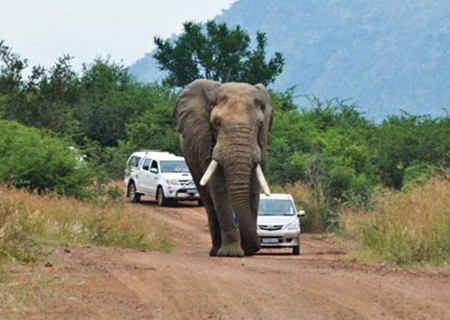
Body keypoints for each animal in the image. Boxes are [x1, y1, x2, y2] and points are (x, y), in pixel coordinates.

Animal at [174, 80, 272, 258]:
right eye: (217, 123)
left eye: (260, 124)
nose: (256, 247)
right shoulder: (205, 143)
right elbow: (219, 187)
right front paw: (231, 253)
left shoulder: (261, 145)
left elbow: (253, 187)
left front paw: (247, 250)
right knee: (207, 199)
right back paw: (215, 251)